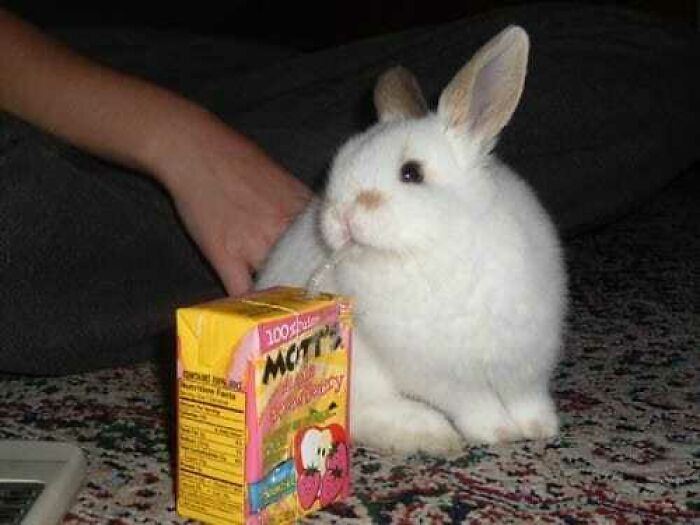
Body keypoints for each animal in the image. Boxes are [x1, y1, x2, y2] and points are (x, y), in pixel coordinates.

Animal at [256, 25, 567, 455]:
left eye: (411, 173)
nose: (339, 216)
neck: (436, 249)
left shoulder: (525, 359)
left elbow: (527, 396)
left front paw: (540, 427)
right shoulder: (443, 377)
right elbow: (477, 405)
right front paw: (499, 433)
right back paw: (432, 433)